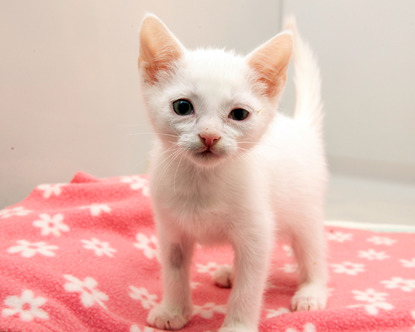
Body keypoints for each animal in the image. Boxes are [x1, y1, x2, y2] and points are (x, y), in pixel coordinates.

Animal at [139, 14, 328, 332]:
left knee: (313, 253)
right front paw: (174, 310)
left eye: (239, 114)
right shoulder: (170, 229)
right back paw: (230, 272)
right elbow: (174, 270)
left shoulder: (257, 231)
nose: (209, 136)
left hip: (306, 212)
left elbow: (249, 287)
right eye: (182, 107)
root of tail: (300, 126)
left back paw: (312, 291)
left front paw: (238, 324)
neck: (202, 181)